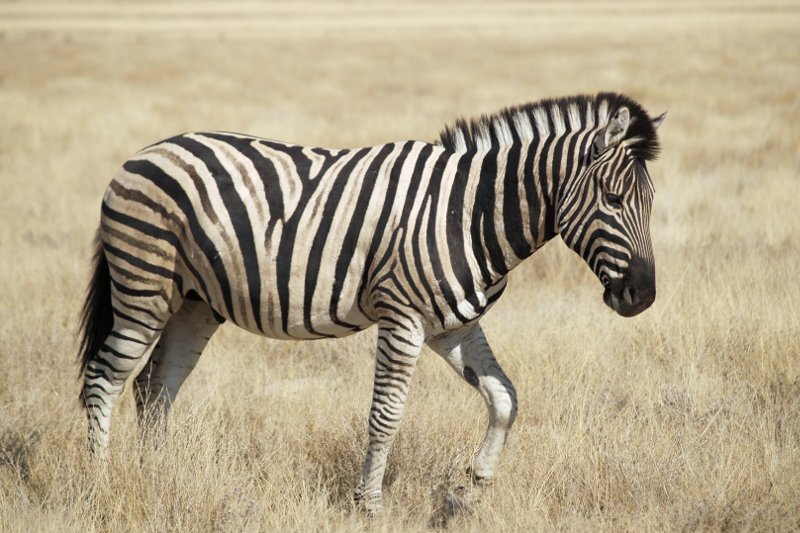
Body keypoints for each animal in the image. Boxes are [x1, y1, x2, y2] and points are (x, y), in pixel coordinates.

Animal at [78, 91, 664, 512]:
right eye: (613, 199)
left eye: (652, 203)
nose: (643, 297)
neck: (470, 213)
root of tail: (145, 152)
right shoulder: (401, 317)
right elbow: (386, 415)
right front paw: (370, 505)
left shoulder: (452, 325)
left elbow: (505, 398)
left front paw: (473, 487)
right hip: (144, 287)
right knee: (104, 380)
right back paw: (101, 485)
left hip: (195, 302)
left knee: (155, 388)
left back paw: (157, 476)